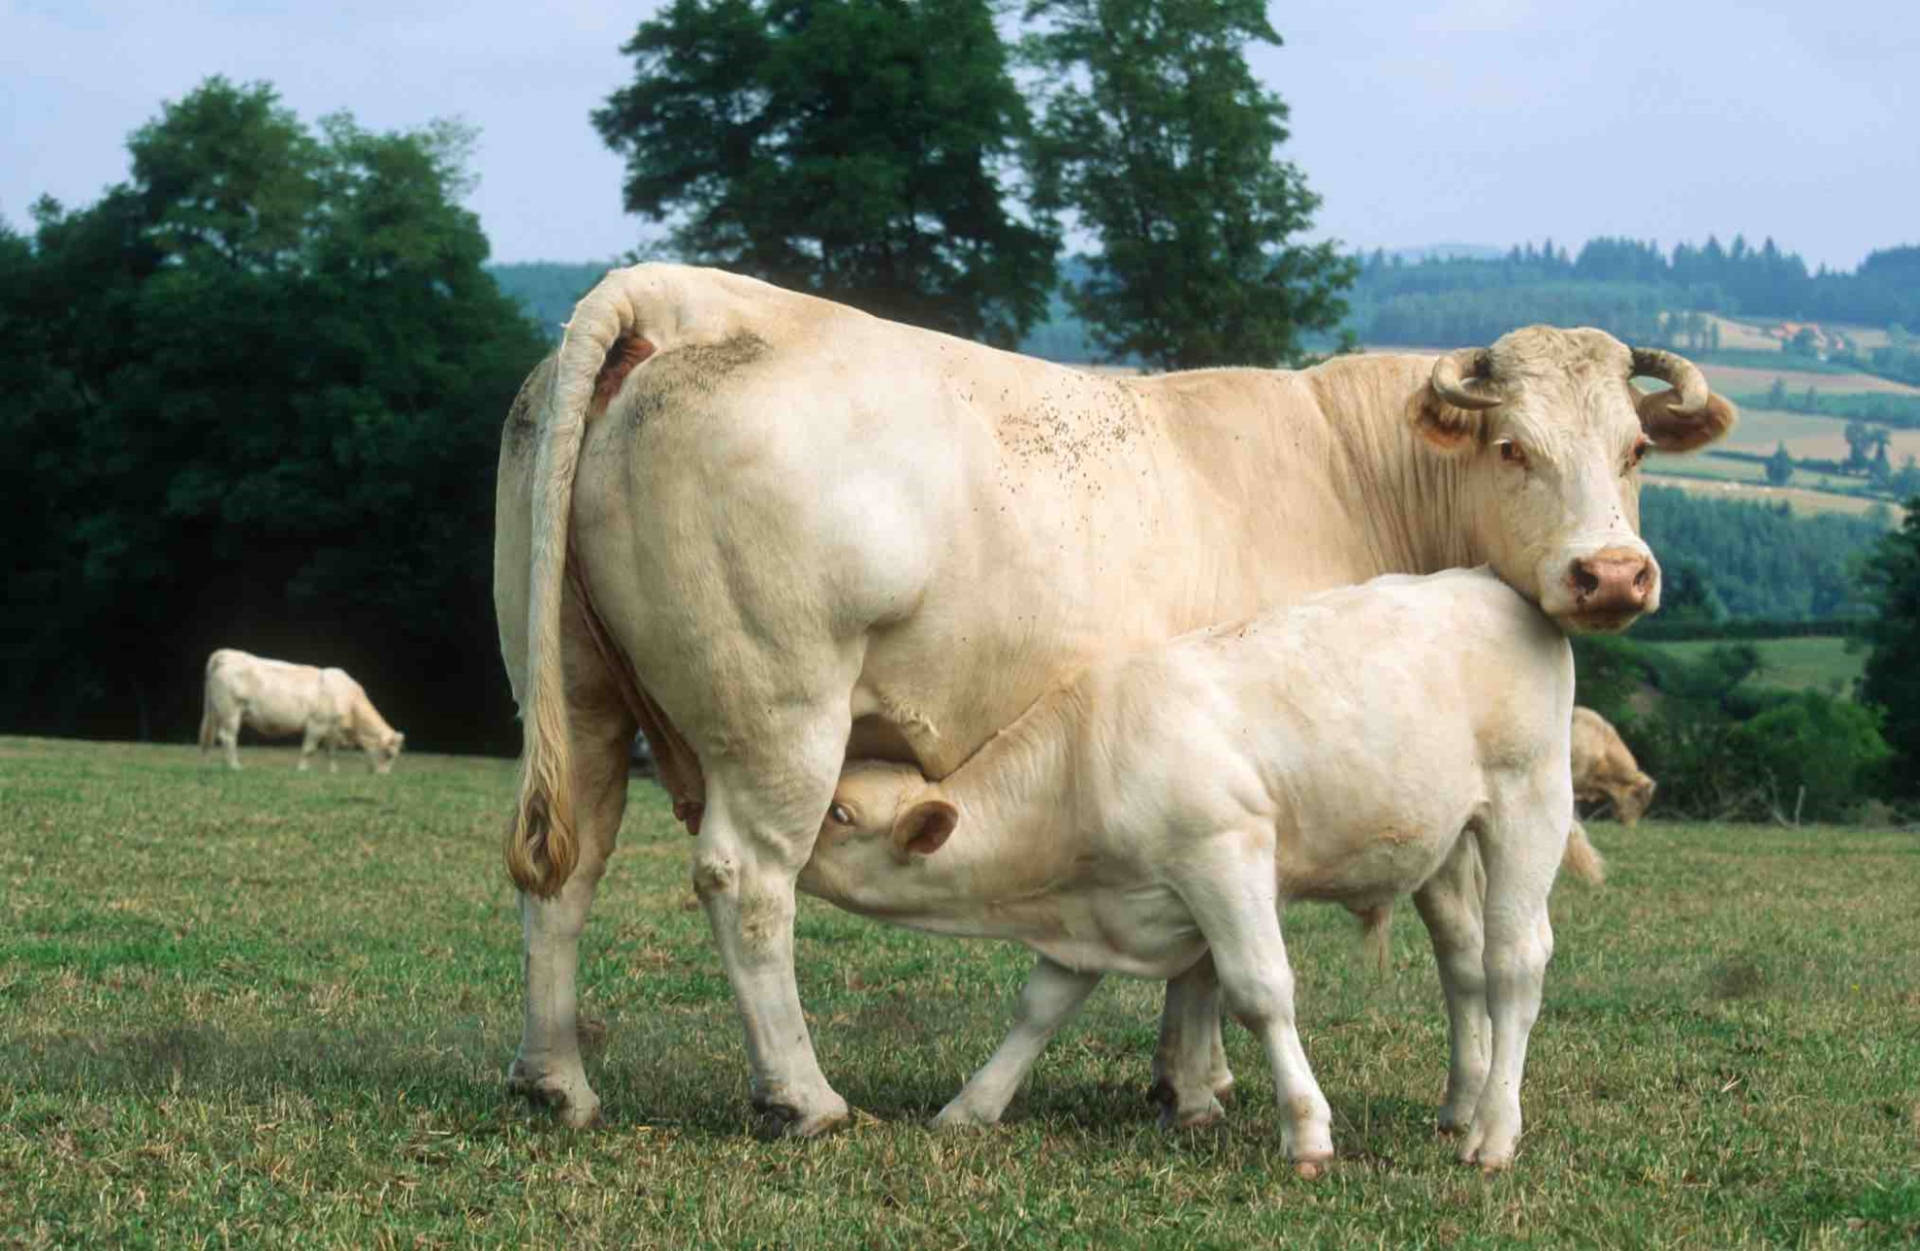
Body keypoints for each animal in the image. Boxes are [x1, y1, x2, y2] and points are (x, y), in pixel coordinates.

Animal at [802, 567, 1582, 1174]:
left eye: (839, 813)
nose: (791, 844)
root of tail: (1483, 580)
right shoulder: (1096, 913)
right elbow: (1040, 1007)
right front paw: (970, 1107)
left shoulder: (1224, 853)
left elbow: (1260, 992)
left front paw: (1306, 1131)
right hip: (1445, 839)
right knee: (1462, 961)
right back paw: (1462, 1103)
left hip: (1530, 797)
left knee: (1515, 960)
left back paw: (1493, 1133)